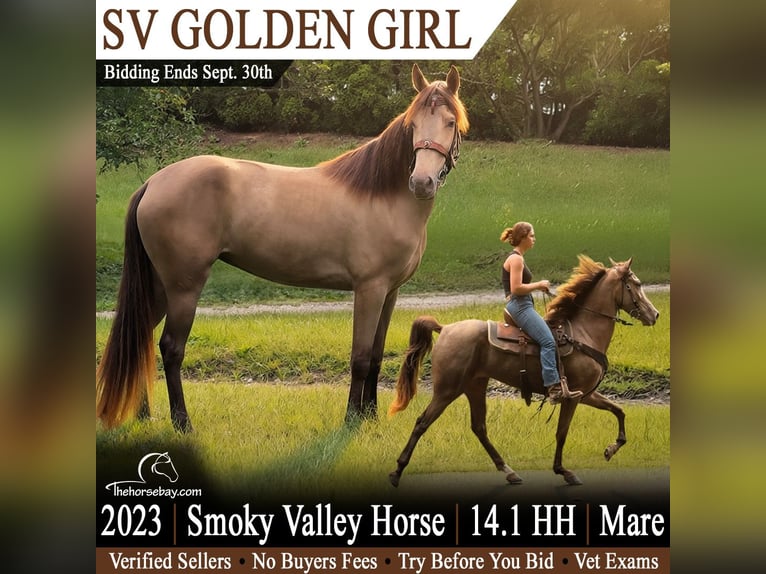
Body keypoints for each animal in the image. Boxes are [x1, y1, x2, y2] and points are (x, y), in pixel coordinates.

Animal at [97, 64, 469, 432]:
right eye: (413, 124)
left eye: (450, 122)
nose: (421, 182)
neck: (383, 196)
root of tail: (153, 183)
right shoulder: (369, 289)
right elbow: (361, 357)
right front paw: (352, 419)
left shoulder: (389, 292)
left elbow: (376, 356)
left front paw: (370, 416)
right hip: (183, 287)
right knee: (170, 348)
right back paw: (182, 423)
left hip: (159, 285)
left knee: (141, 337)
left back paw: (144, 415)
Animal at [388, 255, 660, 487]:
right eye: (635, 284)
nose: (655, 314)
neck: (583, 333)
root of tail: (444, 328)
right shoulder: (572, 397)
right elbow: (562, 432)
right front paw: (564, 471)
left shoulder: (586, 394)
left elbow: (619, 411)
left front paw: (611, 449)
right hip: (447, 390)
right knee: (422, 422)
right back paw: (397, 471)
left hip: (475, 386)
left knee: (479, 427)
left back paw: (509, 471)